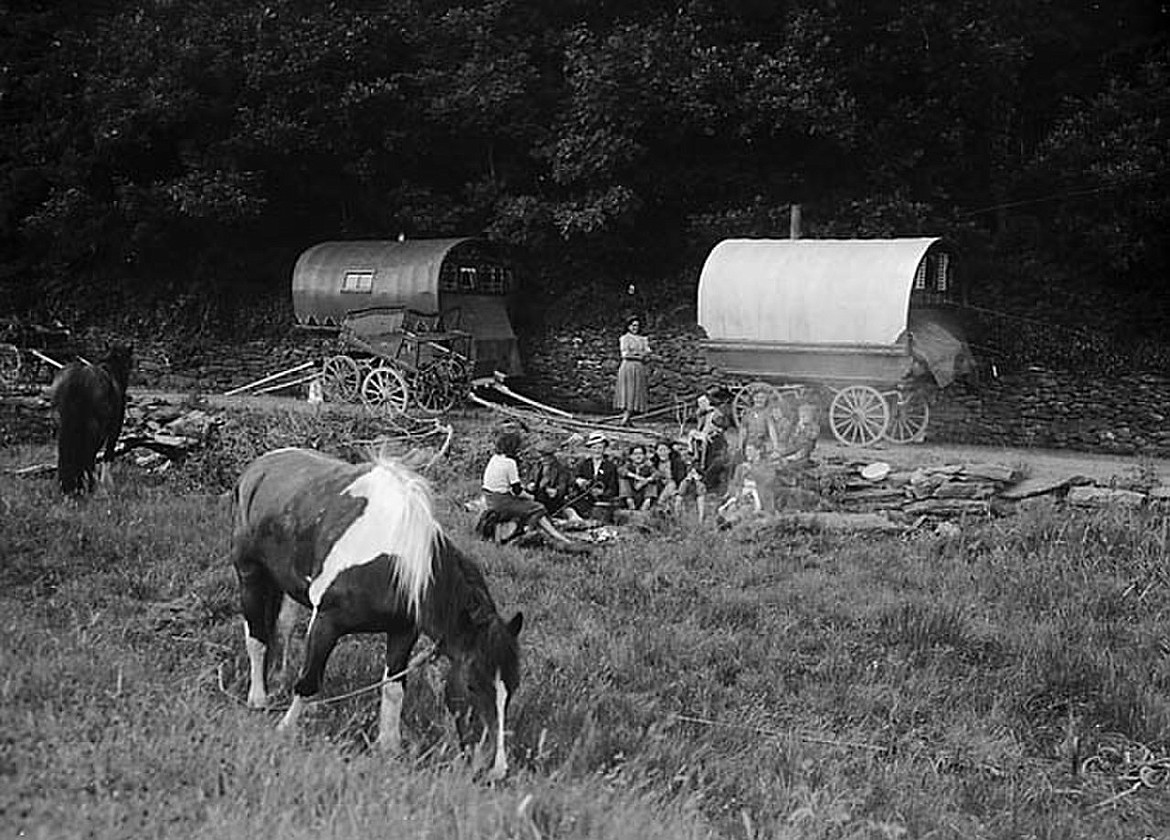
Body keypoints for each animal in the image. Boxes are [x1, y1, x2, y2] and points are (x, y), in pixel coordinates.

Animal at [50, 343, 132, 496]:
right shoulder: (114, 431)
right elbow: (107, 455)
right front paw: (107, 486)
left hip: (62, 426)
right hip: (95, 430)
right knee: (88, 457)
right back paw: (93, 488)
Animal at [230, 446, 524, 781]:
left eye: (512, 689)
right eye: (473, 685)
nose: (496, 769)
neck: (397, 564)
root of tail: (259, 466)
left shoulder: (403, 631)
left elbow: (394, 688)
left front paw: (389, 747)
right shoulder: (327, 622)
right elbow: (309, 681)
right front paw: (286, 729)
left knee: (283, 626)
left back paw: (279, 677)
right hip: (250, 573)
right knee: (256, 639)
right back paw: (258, 698)